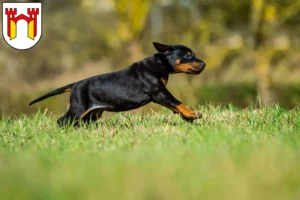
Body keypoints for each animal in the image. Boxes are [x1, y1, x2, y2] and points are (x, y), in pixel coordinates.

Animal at [28, 42, 206, 126]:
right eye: (188, 55)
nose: (204, 64)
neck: (159, 63)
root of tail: (76, 84)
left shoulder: (160, 95)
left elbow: (174, 106)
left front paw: (187, 117)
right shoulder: (159, 92)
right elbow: (178, 102)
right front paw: (193, 114)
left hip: (93, 112)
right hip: (79, 107)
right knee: (63, 121)